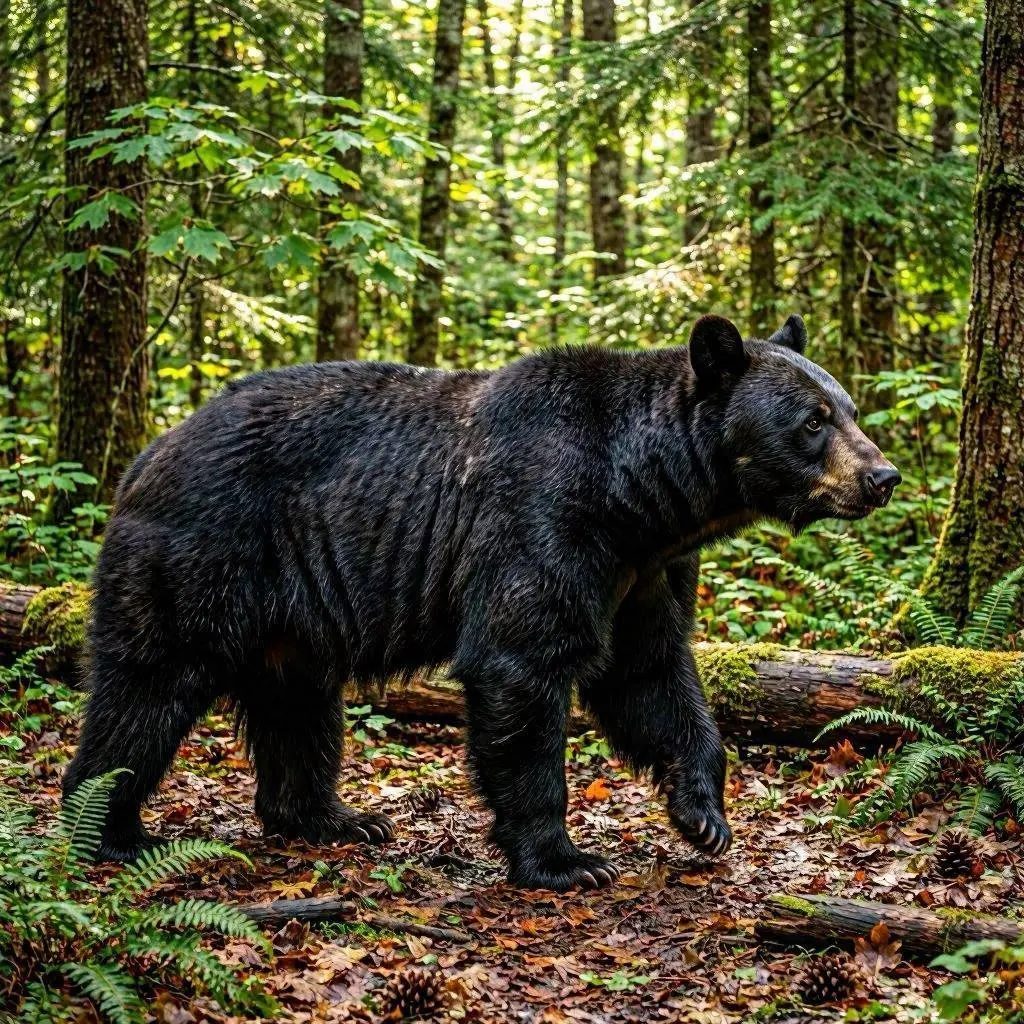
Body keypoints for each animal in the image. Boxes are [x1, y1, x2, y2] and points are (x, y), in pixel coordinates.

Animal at [63, 313, 899, 891]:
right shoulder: (542, 524)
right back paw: (113, 829)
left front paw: (704, 816)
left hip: (291, 614)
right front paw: (565, 859)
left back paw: (335, 818)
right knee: (148, 687)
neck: (638, 495)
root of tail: (145, 455)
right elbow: (522, 668)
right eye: (813, 421)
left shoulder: (642, 571)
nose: (882, 477)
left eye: (850, 408)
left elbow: (651, 673)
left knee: (300, 705)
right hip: (203, 553)